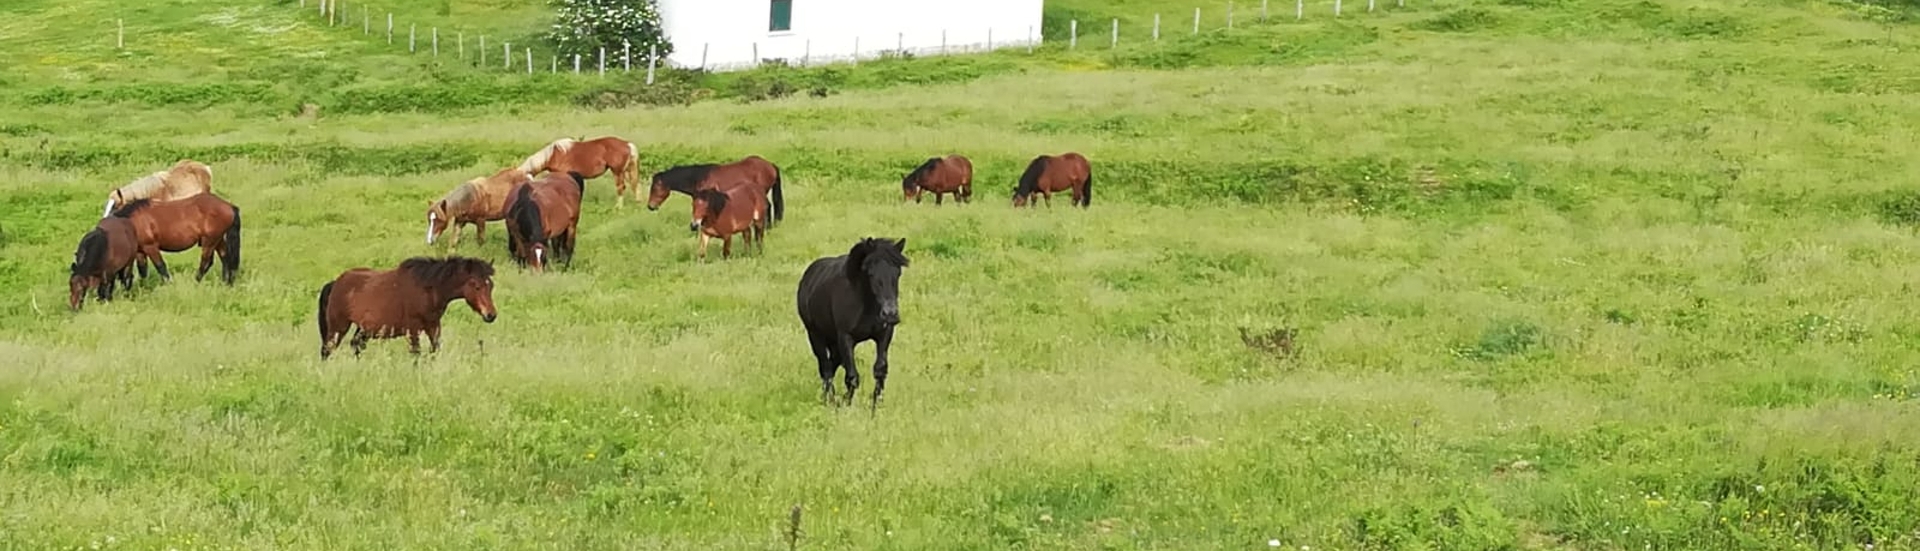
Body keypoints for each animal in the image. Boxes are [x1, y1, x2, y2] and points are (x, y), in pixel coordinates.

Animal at [108, 193, 241, 287]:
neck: (133, 221)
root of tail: (229, 206)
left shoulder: (150, 247)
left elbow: (160, 266)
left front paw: (168, 285)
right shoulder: (140, 251)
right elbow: (142, 270)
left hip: (210, 241)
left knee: (206, 262)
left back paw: (196, 282)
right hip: (217, 240)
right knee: (225, 258)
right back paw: (226, 283)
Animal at [798, 235, 910, 412]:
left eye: (897, 273)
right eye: (871, 273)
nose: (890, 314)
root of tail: (808, 276)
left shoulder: (884, 335)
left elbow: (880, 370)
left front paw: (875, 406)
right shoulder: (846, 337)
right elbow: (852, 377)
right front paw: (846, 404)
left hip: (834, 344)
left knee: (831, 365)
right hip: (816, 336)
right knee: (826, 368)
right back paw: (830, 400)